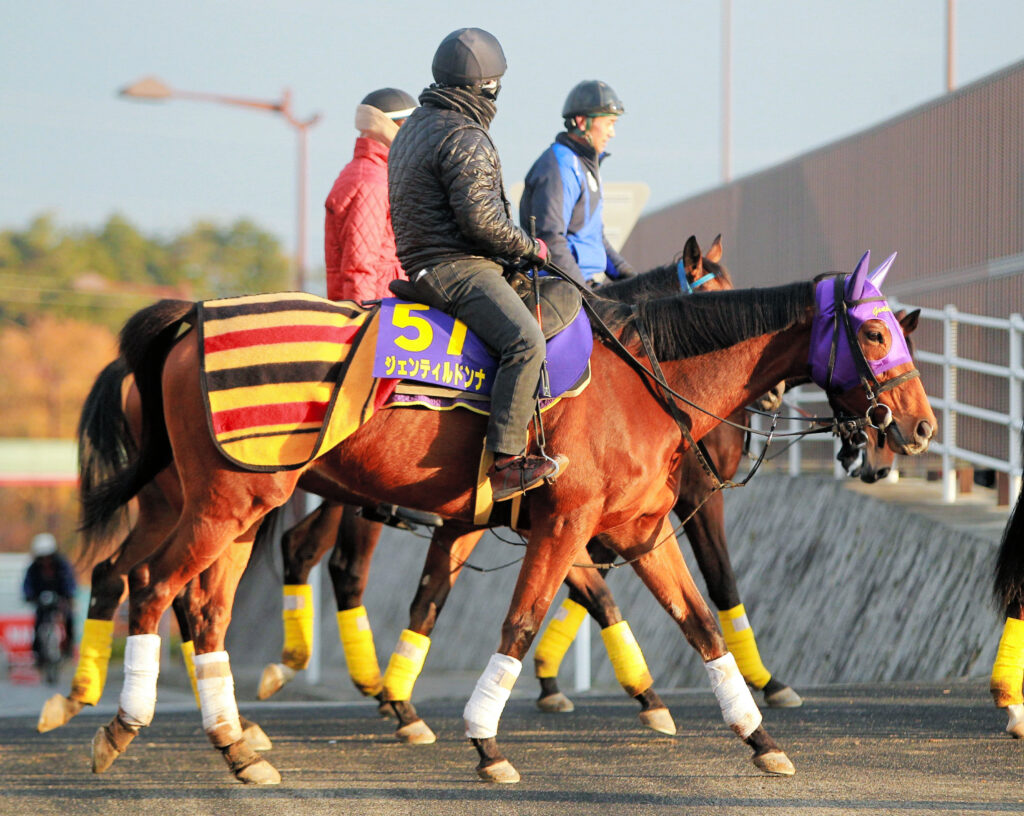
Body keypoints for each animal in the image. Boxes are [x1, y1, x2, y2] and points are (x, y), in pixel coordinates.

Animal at [81, 250, 935, 785]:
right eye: (873, 332)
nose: (920, 425)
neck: (639, 375)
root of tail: (191, 317)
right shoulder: (565, 526)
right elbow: (523, 623)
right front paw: (486, 739)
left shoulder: (634, 532)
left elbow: (700, 623)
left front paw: (758, 736)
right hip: (230, 503)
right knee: (154, 585)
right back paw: (126, 722)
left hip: (237, 504)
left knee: (194, 604)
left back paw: (235, 741)